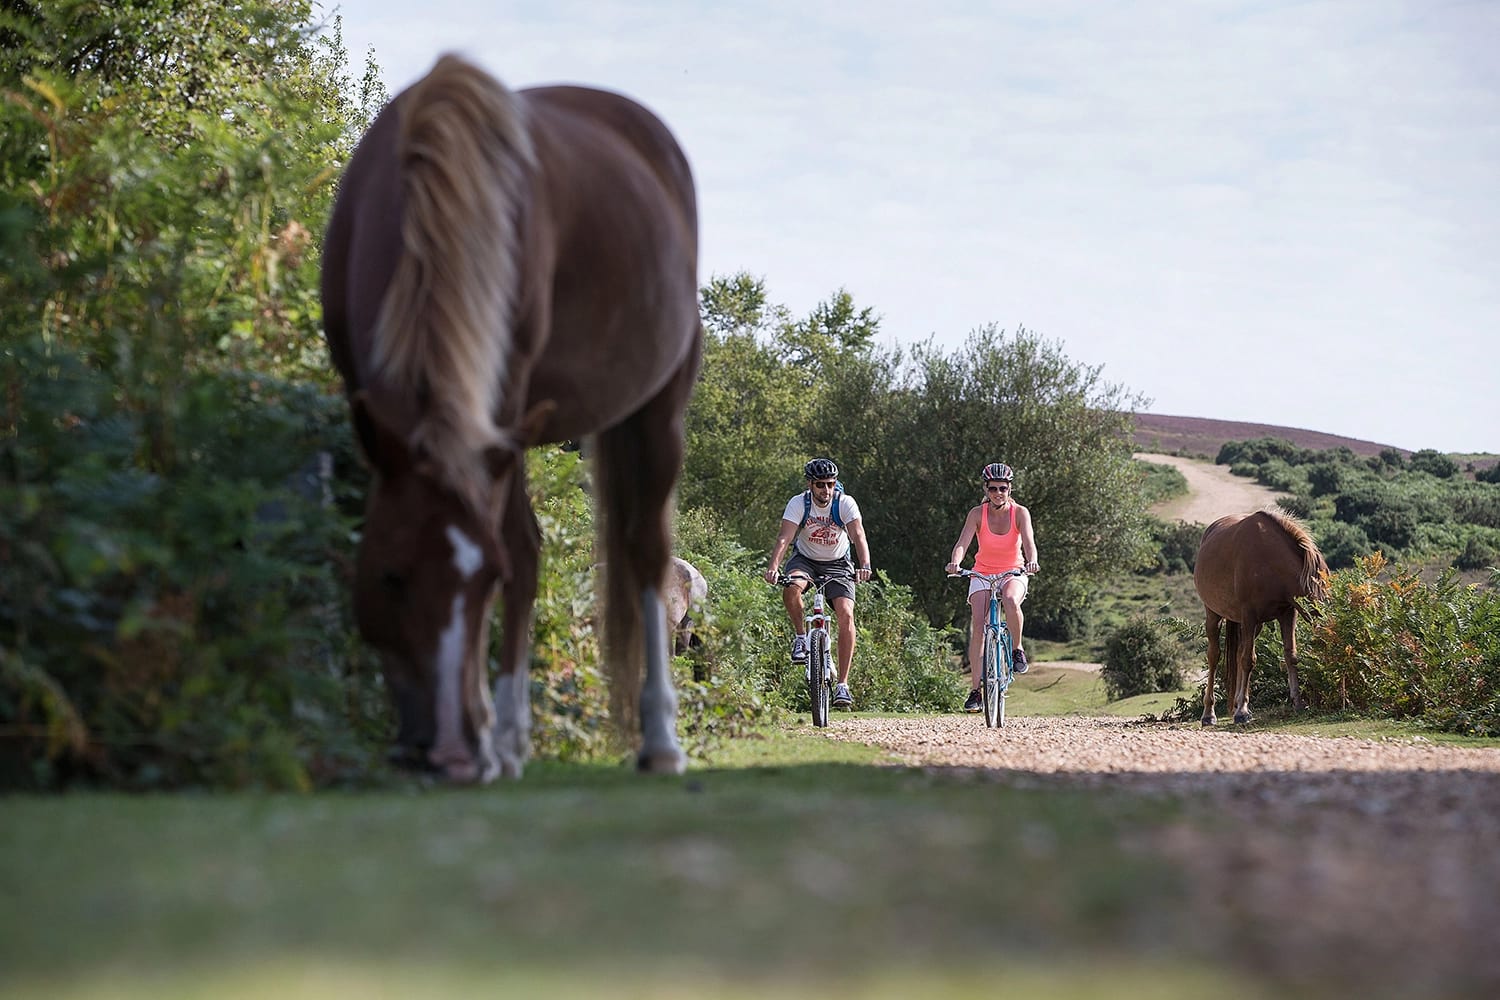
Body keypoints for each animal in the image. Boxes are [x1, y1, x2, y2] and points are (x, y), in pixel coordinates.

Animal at [318, 54, 702, 785]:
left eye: (481, 585)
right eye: (390, 576)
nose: (449, 755)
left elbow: (513, 555)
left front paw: (484, 736)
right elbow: (517, 554)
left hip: (656, 411)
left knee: (644, 551)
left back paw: (659, 740)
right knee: (532, 548)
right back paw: (509, 737)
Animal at [1188, 512, 1332, 722]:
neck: (1270, 561)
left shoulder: (1287, 613)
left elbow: (1290, 656)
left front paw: (1298, 702)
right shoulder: (1249, 614)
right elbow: (1248, 660)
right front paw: (1242, 712)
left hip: (1255, 626)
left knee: (1238, 653)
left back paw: (1237, 703)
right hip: (1214, 615)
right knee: (1214, 656)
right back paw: (1209, 713)